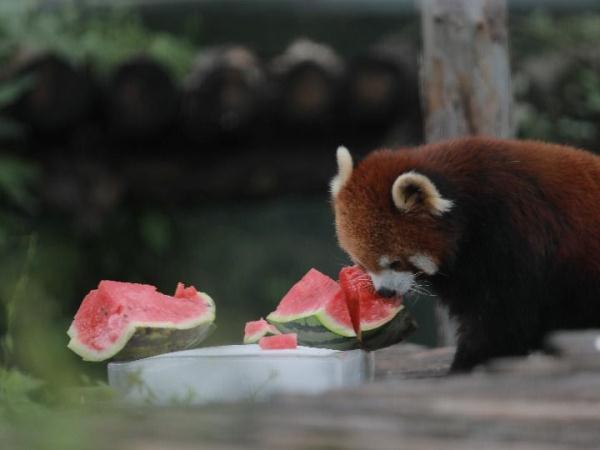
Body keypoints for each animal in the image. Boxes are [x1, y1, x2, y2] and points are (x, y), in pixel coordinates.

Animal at [330, 136, 600, 370]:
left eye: (396, 262)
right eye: (361, 262)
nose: (384, 292)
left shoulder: (512, 240)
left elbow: (502, 317)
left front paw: (467, 363)